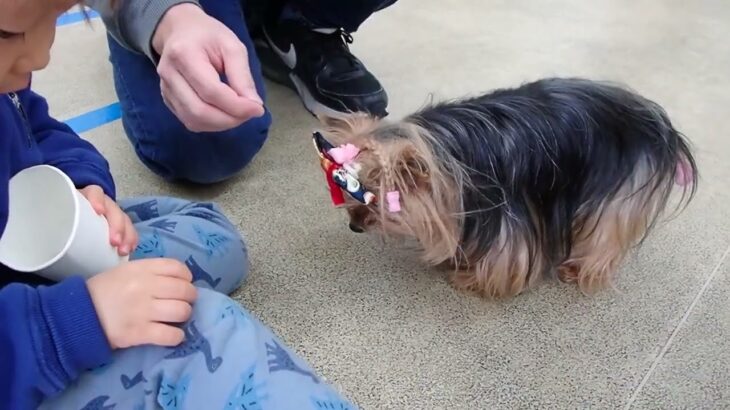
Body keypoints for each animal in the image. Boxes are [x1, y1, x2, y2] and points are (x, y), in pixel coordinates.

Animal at [312, 77, 692, 298]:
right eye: (344, 190)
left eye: (374, 200)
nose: (354, 225)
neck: (448, 151)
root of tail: (654, 117)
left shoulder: (506, 213)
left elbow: (508, 257)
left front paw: (470, 279)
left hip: (618, 185)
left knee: (606, 232)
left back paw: (577, 268)